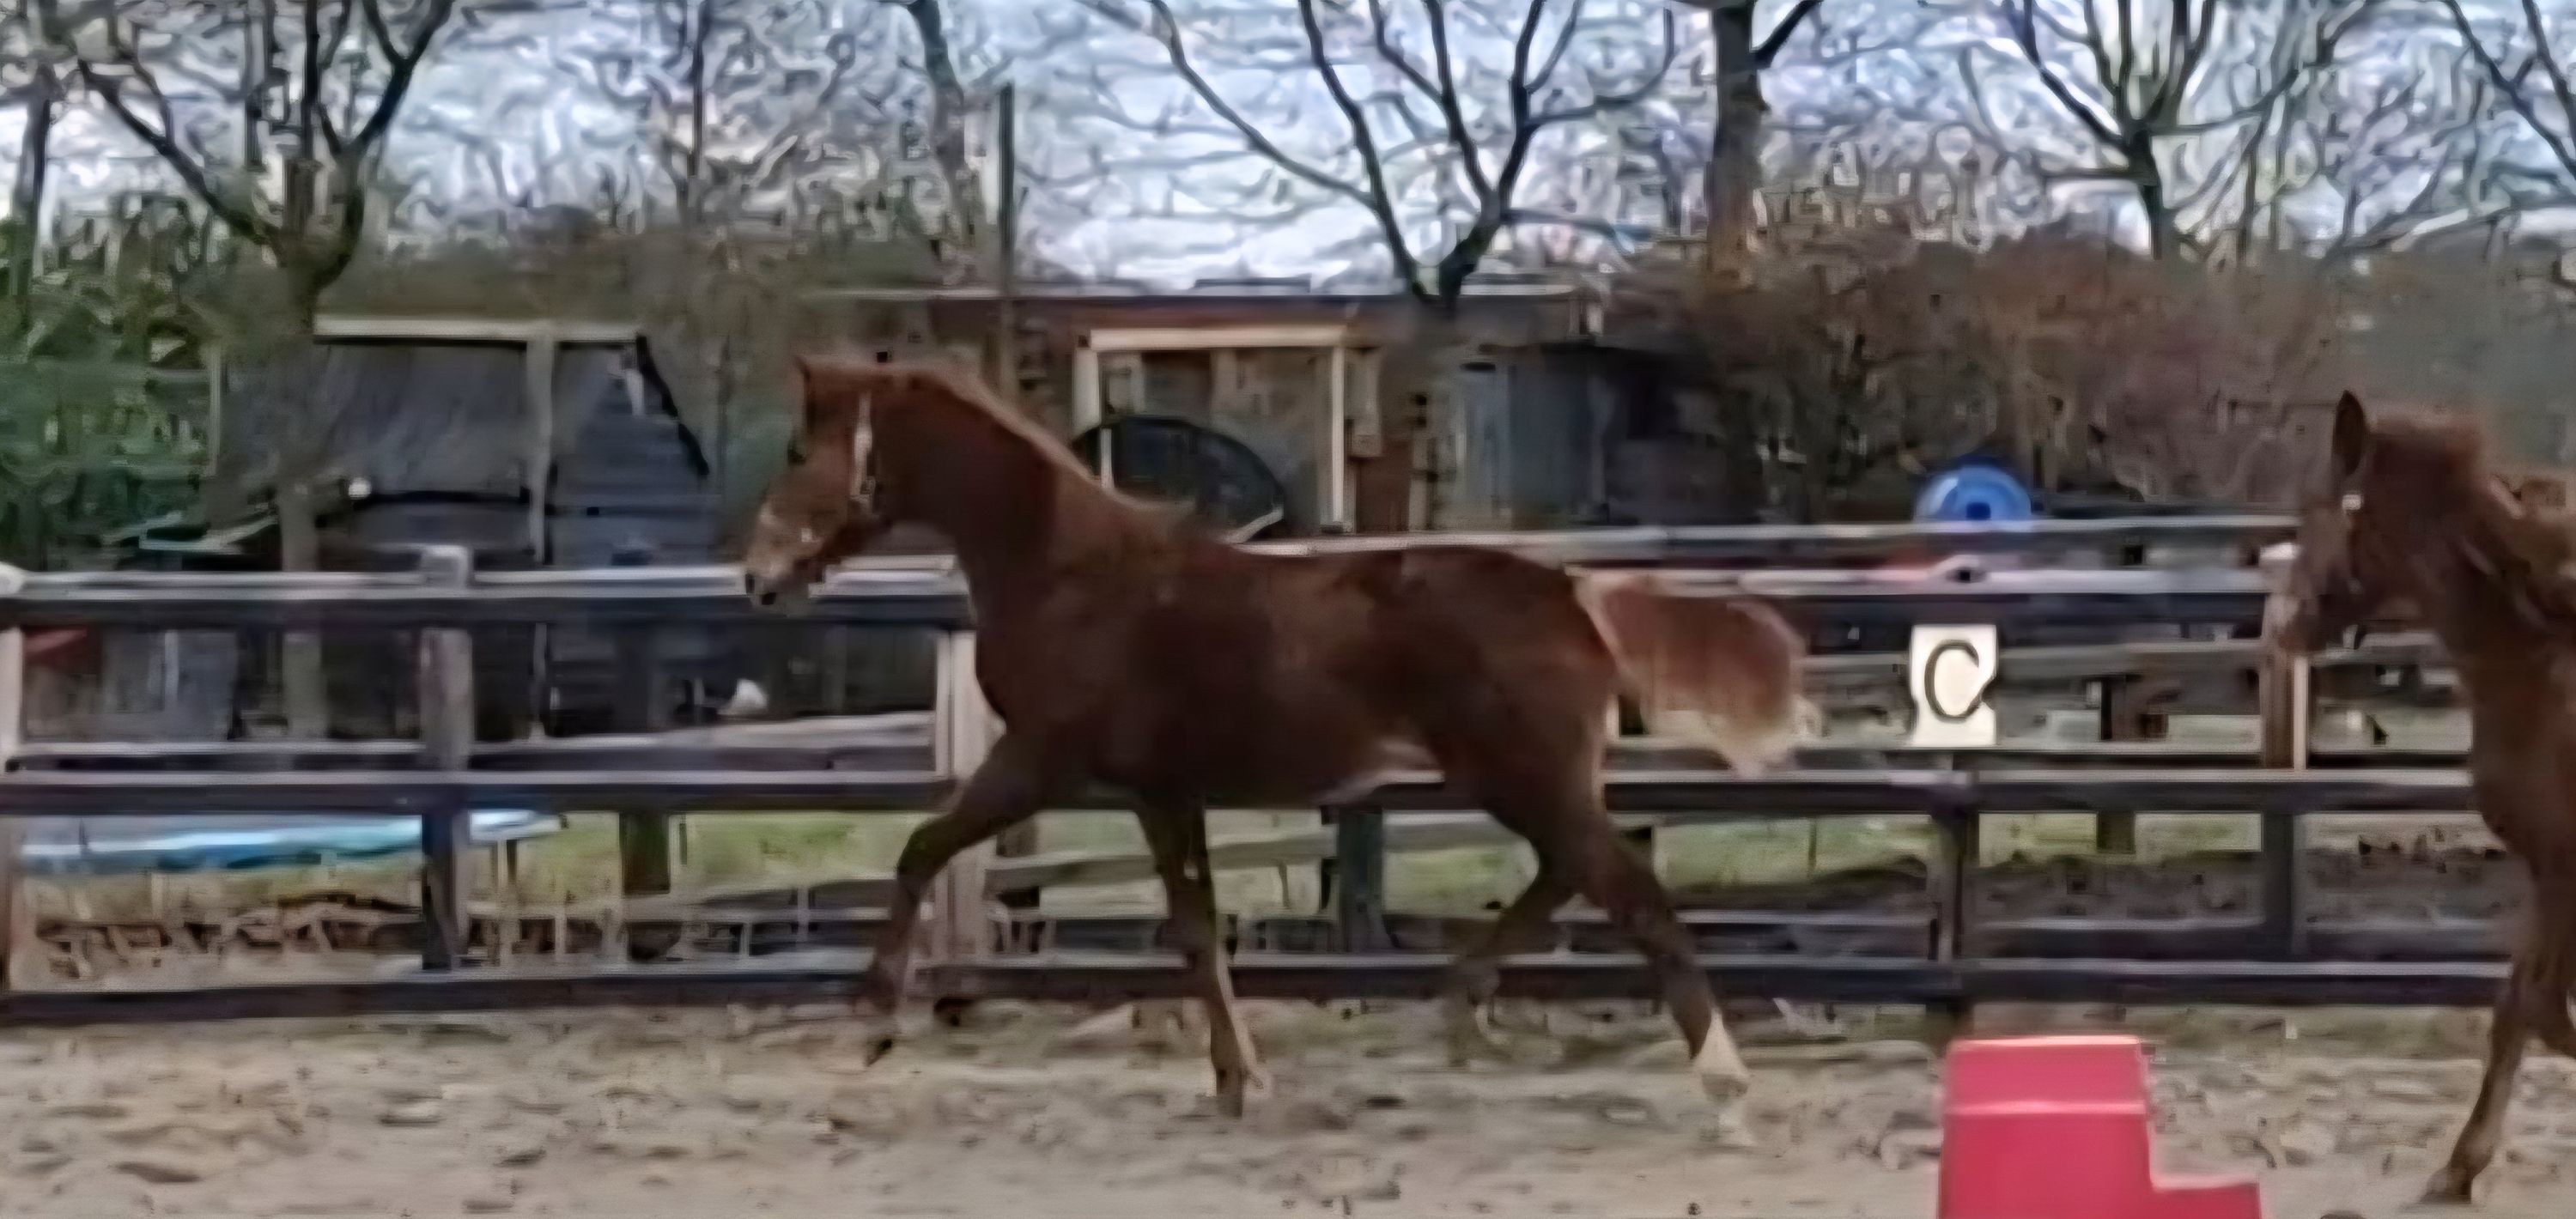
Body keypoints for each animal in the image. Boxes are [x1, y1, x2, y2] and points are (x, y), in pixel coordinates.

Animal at [738, 355, 1811, 1119]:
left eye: (797, 451)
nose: (757, 576)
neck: (1070, 574)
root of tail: (1574, 592)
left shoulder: (1043, 759)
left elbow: (923, 846)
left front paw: (871, 1024)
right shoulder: (1161, 791)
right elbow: (1198, 929)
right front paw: (1239, 1079)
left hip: (1526, 777)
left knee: (1630, 892)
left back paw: (1722, 1083)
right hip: (1518, 780)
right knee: (1573, 875)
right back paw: (1464, 1003)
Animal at [2274, 391, 2576, 1204]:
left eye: (2317, 504)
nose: (2283, 626)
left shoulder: (2564, 870)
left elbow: (2538, 1009)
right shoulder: (2547, 871)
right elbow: (2520, 1007)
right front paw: (2459, 1166)